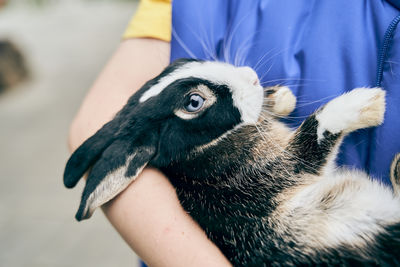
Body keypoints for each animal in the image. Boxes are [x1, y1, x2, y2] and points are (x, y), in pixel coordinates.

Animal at [64, 59, 400, 267]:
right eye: (194, 102)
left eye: (179, 63)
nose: (251, 77)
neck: (202, 151)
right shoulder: (277, 173)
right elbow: (315, 132)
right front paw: (369, 103)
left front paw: (280, 97)